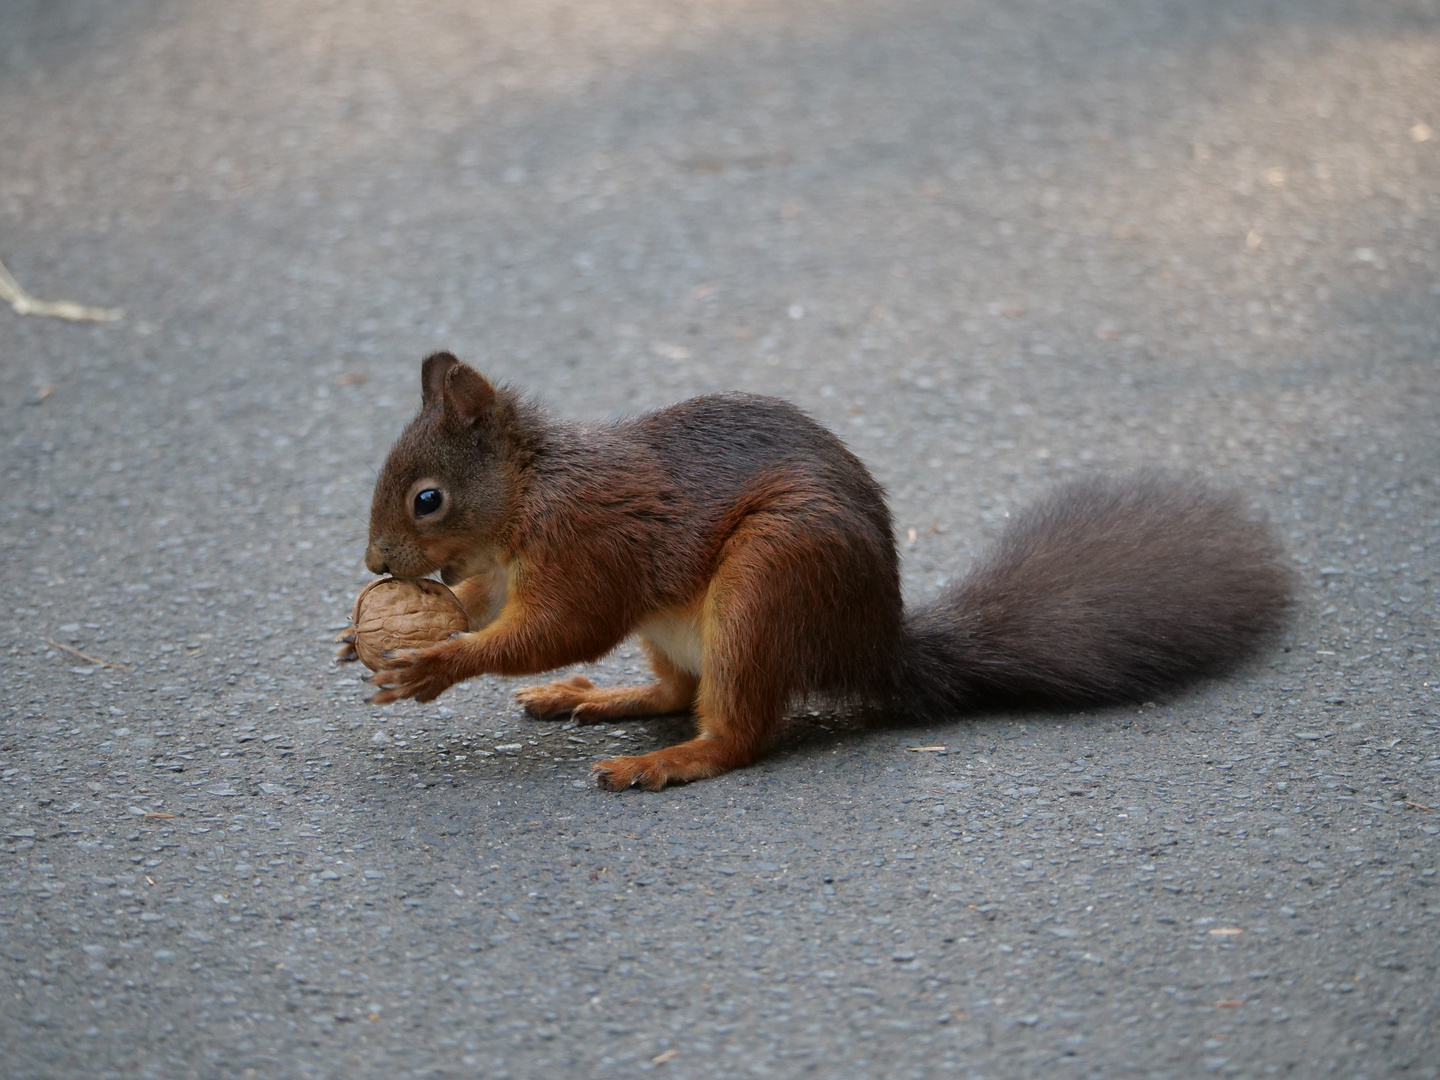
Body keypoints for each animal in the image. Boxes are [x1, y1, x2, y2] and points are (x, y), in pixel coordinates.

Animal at [357, 351, 1296, 789]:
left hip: (770, 579)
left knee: (735, 732)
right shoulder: (505, 571)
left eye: (427, 499)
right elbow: (484, 603)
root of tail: (873, 646)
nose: (374, 562)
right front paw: (370, 635)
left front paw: (435, 662)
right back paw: (598, 698)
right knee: (676, 693)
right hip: (693, 627)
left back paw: (667, 761)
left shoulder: (588, 545)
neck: (528, 497)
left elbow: (562, 627)